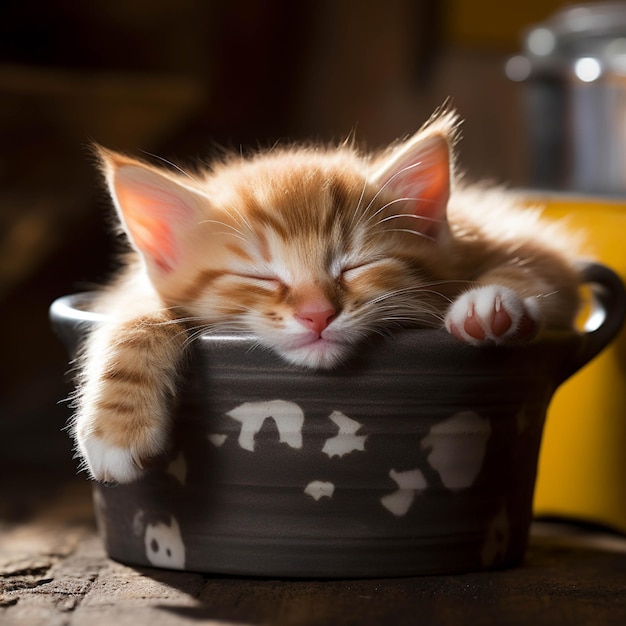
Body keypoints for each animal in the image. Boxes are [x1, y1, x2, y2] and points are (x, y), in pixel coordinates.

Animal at [73, 109, 580, 482]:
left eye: (354, 265)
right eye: (260, 276)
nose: (317, 314)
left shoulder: (517, 240)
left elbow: (537, 267)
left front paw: (489, 306)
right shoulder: (132, 286)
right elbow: (133, 315)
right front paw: (115, 426)